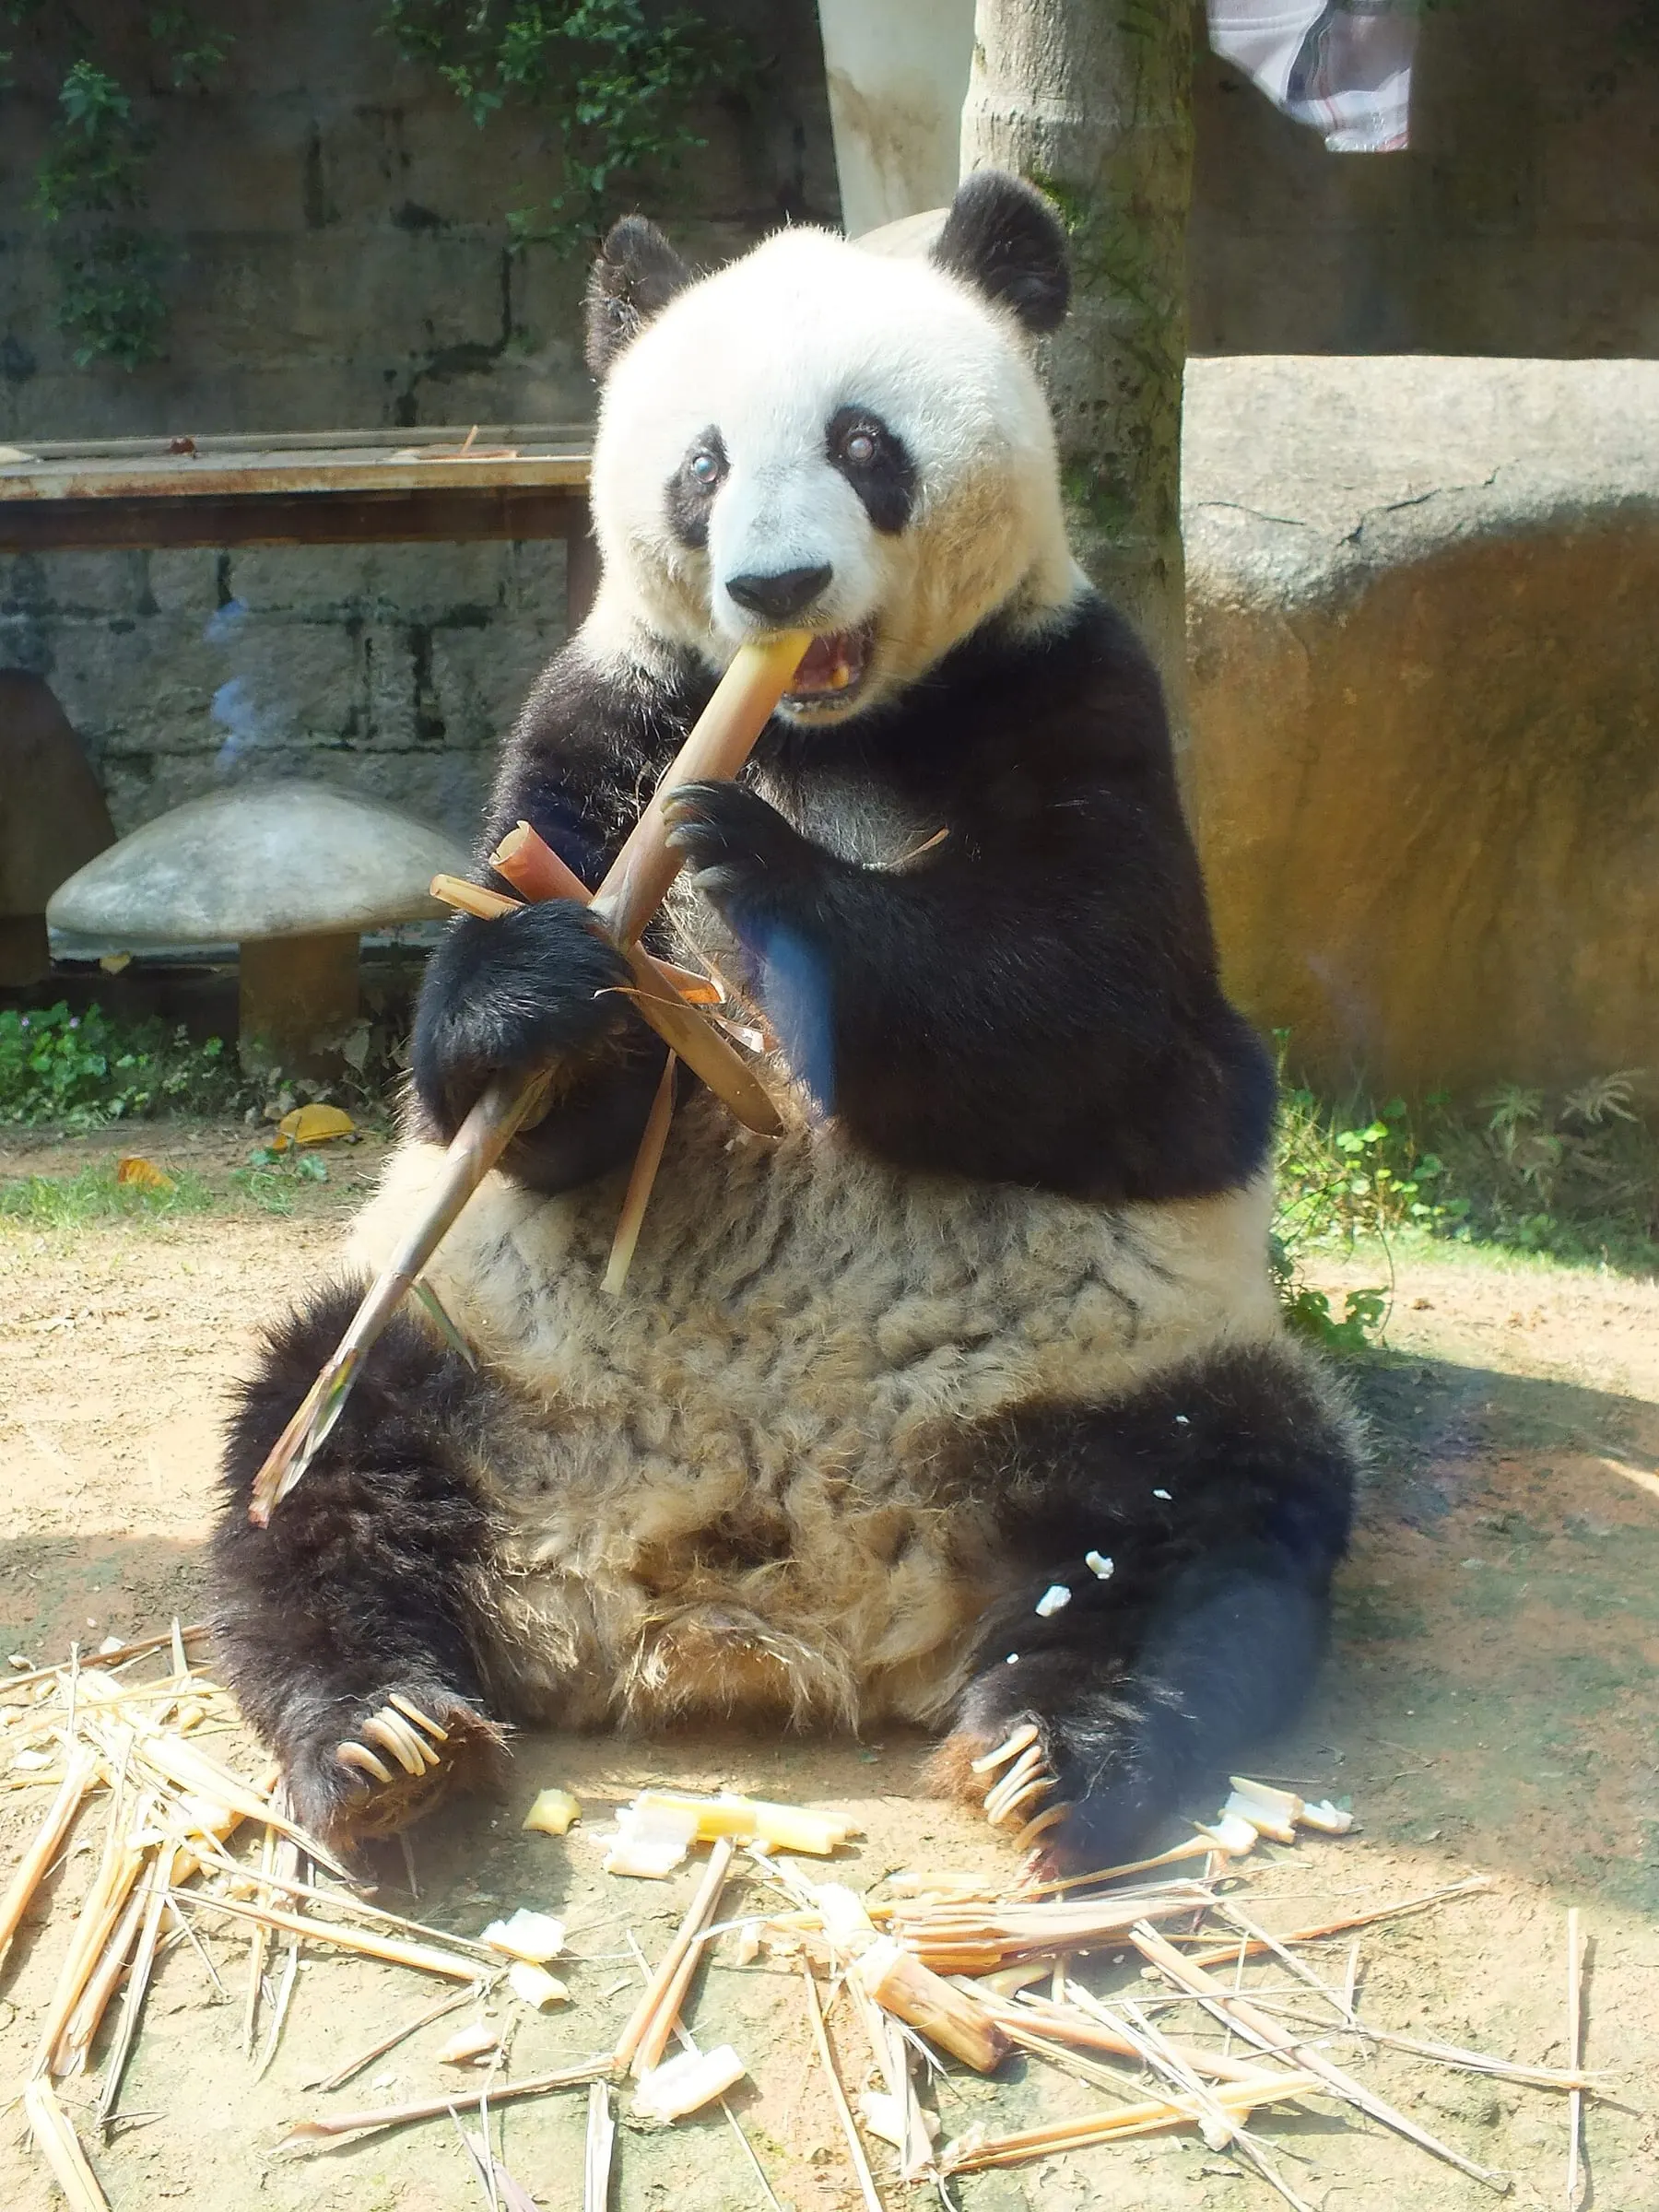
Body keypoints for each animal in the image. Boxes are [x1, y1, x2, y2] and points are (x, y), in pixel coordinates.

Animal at [211, 172, 1358, 1870]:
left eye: (867, 444)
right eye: (702, 467)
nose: (773, 592)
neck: (822, 731)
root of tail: (758, 1605)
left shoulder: (1076, 692)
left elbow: (1105, 1023)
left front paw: (748, 862)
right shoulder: (611, 703)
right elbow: (505, 1077)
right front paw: (558, 985)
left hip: (1120, 1377)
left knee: (1215, 1519)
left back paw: (1060, 1754)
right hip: (468, 1353)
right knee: (315, 1461)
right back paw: (383, 1734)